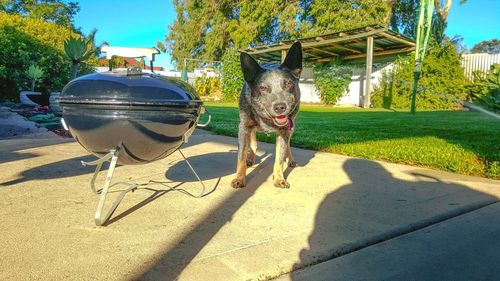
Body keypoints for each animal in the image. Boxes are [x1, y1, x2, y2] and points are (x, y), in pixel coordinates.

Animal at [231, 41, 304, 188]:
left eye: (288, 84)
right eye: (263, 88)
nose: (280, 107)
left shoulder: (284, 130)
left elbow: (279, 158)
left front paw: (279, 178)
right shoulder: (244, 127)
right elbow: (241, 156)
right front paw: (239, 178)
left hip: (291, 127)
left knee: (288, 145)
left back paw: (291, 160)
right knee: (253, 145)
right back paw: (250, 159)